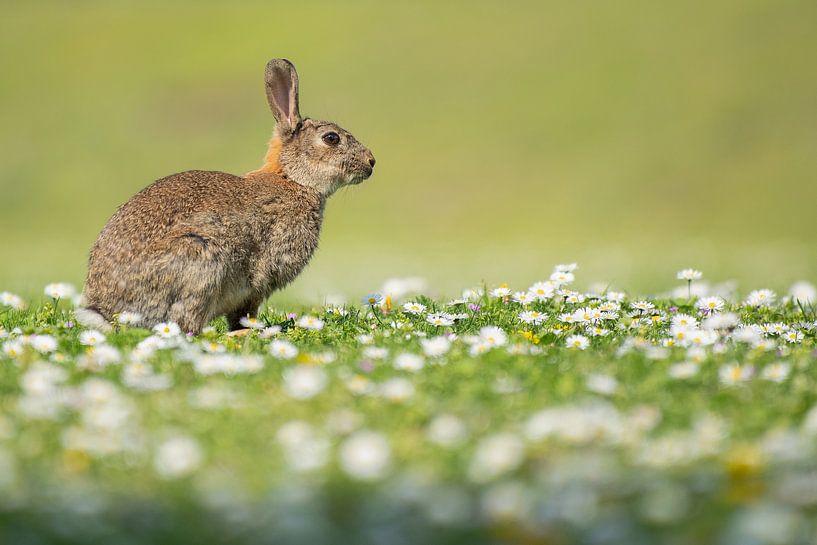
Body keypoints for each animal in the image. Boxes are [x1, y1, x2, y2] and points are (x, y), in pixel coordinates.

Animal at [76, 58, 375, 334]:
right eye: (331, 138)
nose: (371, 162)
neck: (292, 178)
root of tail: (106, 312)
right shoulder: (260, 277)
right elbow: (246, 310)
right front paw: (252, 330)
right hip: (201, 261)